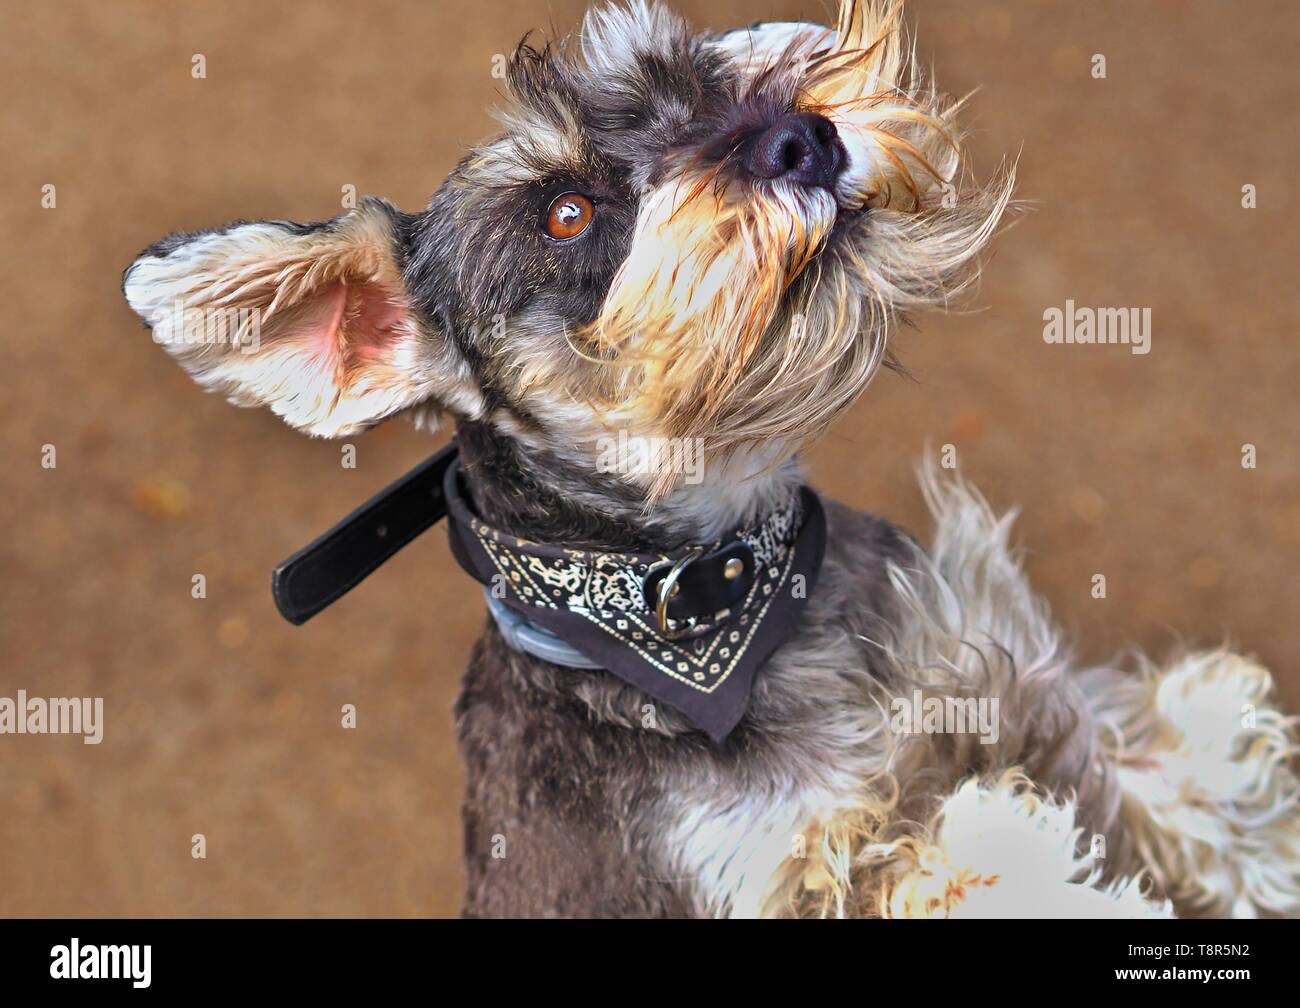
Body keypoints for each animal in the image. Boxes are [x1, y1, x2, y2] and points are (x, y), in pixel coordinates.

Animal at [116, 0, 1294, 920]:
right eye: (564, 212)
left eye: (692, 77)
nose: (802, 140)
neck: (723, 605)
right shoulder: (776, 874)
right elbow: (951, 868)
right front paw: (1016, 844)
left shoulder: (1002, 673)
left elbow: (1162, 789)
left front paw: (1219, 756)